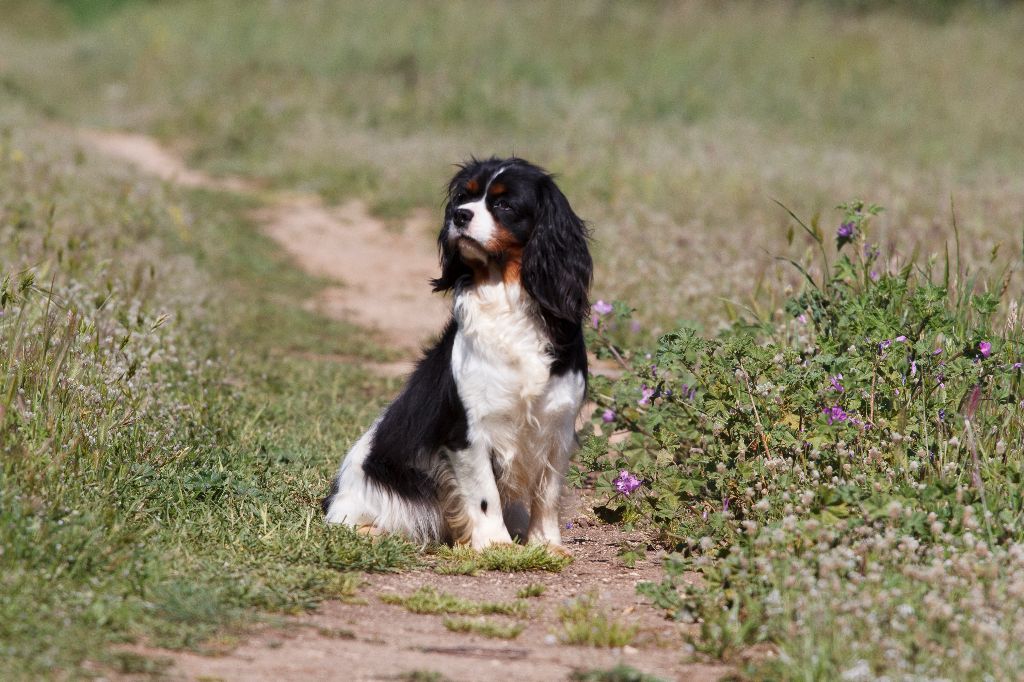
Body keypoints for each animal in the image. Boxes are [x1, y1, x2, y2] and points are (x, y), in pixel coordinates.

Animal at [319, 156, 593, 548]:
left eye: (504, 205)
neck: (506, 297)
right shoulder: (468, 431)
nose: (460, 216)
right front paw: (496, 546)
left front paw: (547, 545)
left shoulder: (558, 424)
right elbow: (484, 495)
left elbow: (548, 493)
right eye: (463, 197)